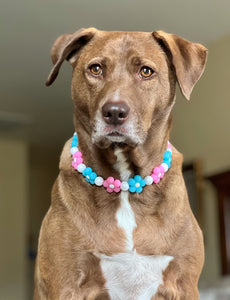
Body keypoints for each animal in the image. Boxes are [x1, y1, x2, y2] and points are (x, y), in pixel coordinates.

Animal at [33, 28, 208, 300]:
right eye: (95, 69)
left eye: (146, 71)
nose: (114, 112)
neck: (126, 183)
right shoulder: (66, 284)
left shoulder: (184, 284)